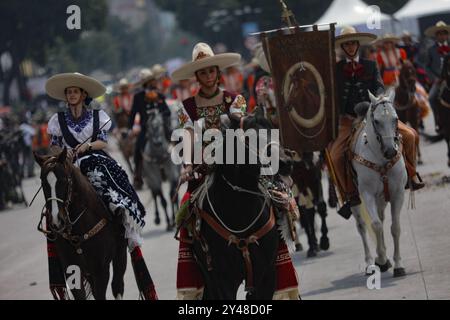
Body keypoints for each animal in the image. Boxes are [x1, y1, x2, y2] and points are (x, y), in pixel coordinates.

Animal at [34, 148, 126, 300]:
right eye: (43, 183)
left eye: (64, 180)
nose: (56, 220)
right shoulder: (72, 271)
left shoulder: (101, 270)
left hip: (120, 254)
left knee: (118, 285)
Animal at [350, 90, 410, 278]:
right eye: (376, 121)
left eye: (395, 119)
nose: (391, 151)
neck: (380, 159)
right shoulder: (367, 194)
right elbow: (375, 225)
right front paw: (382, 259)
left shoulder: (398, 193)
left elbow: (395, 227)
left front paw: (398, 264)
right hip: (355, 200)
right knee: (362, 226)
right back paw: (371, 262)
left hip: (382, 198)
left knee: (382, 219)